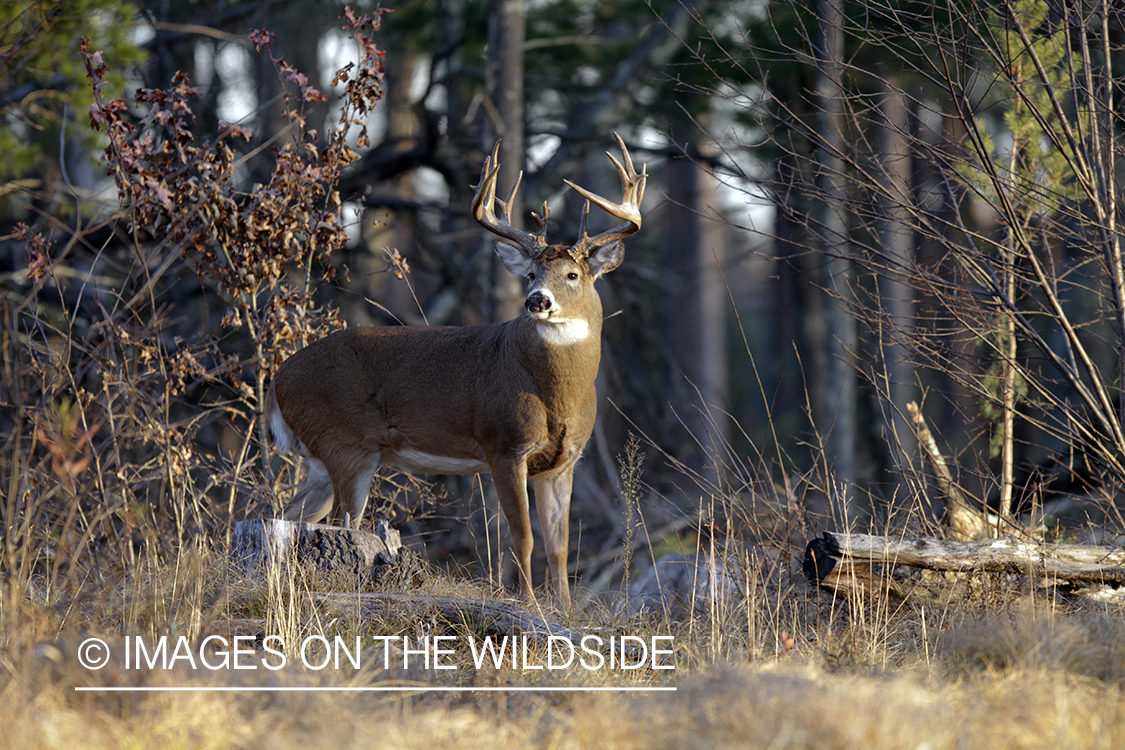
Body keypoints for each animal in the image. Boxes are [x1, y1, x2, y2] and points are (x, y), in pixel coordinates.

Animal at [264, 132, 648, 607]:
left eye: (573, 274)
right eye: (531, 272)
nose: (537, 300)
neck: (556, 392)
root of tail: (277, 379)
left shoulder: (564, 460)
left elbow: (559, 546)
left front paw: (566, 610)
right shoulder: (504, 444)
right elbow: (523, 537)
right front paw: (530, 604)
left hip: (322, 457)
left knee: (284, 516)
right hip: (346, 443)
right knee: (339, 523)